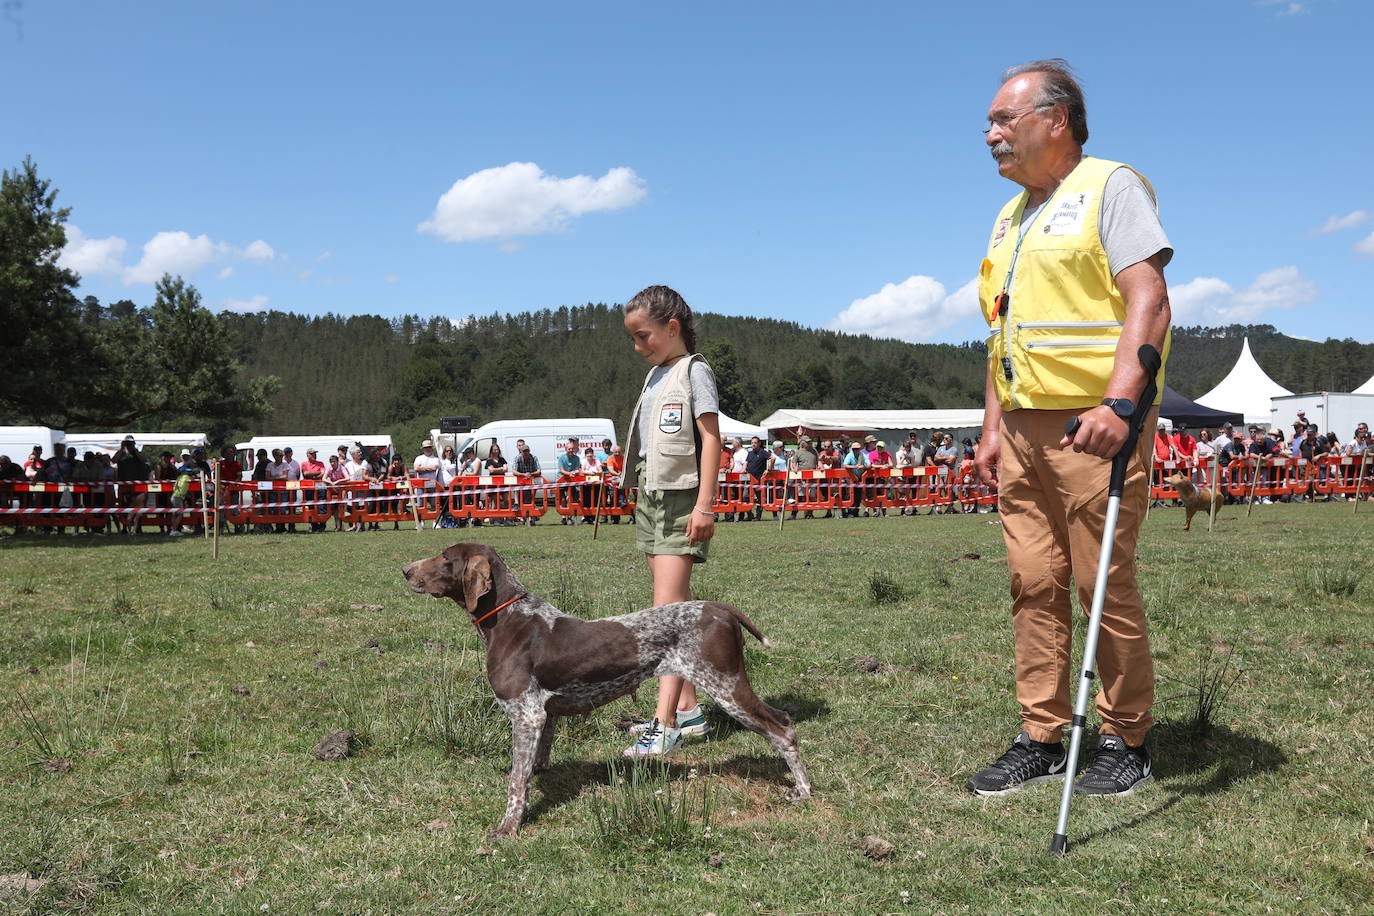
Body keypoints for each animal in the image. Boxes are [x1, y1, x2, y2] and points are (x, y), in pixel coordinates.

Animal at [403, 543, 813, 840]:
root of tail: (718, 608)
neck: (509, 618)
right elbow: (533, 762)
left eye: (445, 558)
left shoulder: (526, 715)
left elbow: (516, 783)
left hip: (726, 686)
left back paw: (804, 790)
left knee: (782, 729)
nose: (405, 570)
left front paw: (509, 827)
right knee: (783, 719)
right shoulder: (543, 715)